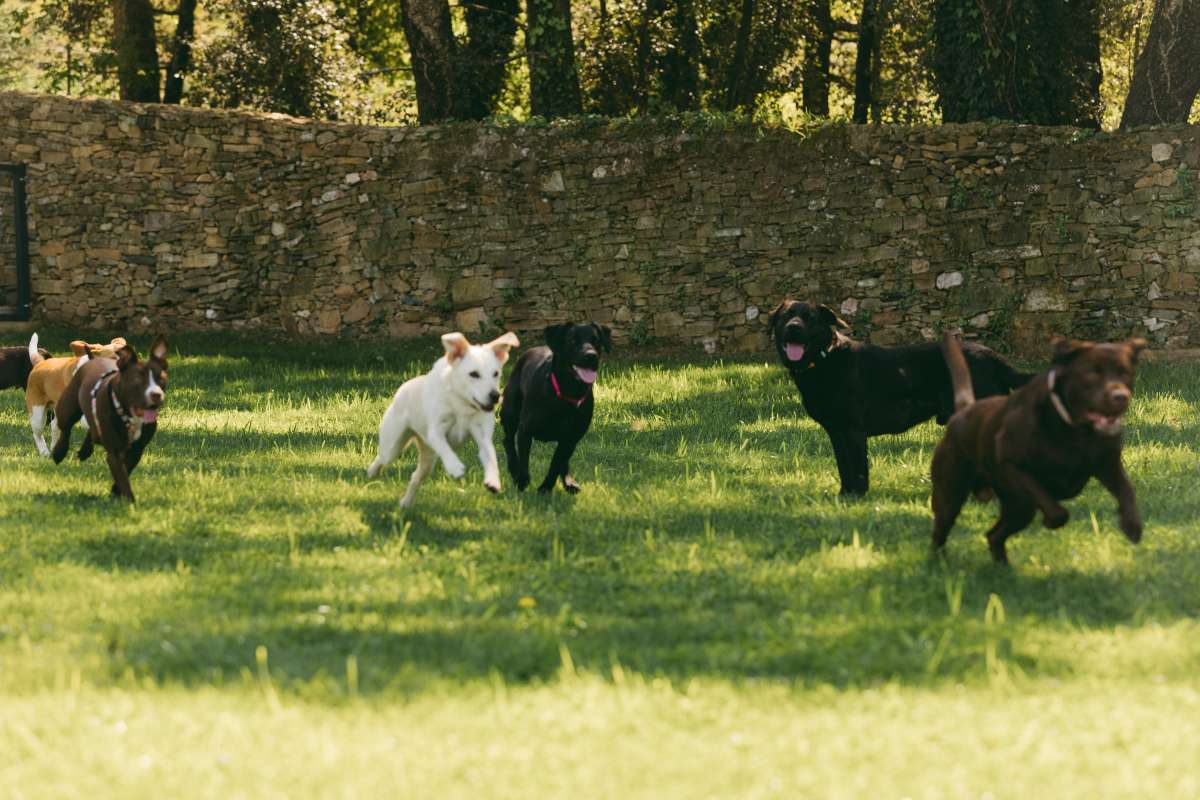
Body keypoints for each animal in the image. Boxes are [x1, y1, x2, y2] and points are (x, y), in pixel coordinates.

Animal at [52, 335, 170, 501]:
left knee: (92, 430)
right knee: (65, 428)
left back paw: (85, 451)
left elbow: (125, 470)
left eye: (161, 379)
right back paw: (59, 452)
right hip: (68, 407)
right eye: (137, 380)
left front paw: (116, 491)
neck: (130, 417)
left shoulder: (137, 450)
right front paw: (129, 500)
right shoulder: (115, 451)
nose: (156, 395)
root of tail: (92, 360)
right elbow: (122, 475)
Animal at [362, 331, 518, 506]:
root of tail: (403, 389)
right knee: (382, 457)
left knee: (416, 476)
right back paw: (372, 472)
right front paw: (454, 466)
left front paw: (493, 481)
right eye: (474, 374)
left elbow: (490, 456)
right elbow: (444, 447)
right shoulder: (435, 432)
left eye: (496, 374)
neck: (461, 403)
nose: (495, 396)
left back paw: (406, 503)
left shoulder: (483, 436)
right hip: (393, 446)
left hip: (428, 459)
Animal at [499, 321, 609, 491]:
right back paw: (513, 470)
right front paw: (522, 481)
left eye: (596, 341)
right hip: (510, 413)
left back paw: (569, 481)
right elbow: (524, 460)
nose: (591, 355)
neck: (567, 393)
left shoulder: (571, 438)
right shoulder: (525, 431)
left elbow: (556, 464)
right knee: (508, 441)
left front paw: (545, 488)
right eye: (572, 341)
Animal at [768, 299, 1032, 496]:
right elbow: (844, 467)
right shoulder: (836, 432)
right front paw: (844, 495)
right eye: (785, 316)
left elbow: (858, 467)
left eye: (809, 317)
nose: (793, 327)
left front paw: (857, 497)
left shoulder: (853, 429)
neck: (824, 358)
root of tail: (993, 356)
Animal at [926, 331, 1142, 563]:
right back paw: (938, 560)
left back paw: (1003, 566)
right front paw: (1050, 520)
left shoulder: (1108, 464)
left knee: (993, 535)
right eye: (1092, 373)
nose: (1120, 397)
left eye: (1125, 373)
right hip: (951, 494)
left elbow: (1127, 491)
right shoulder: (1011, 465)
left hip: (1018, 510)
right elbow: (1054, 507)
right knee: (941, 529)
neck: (1075, 430)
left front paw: (1132, 526)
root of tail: (962, 412)